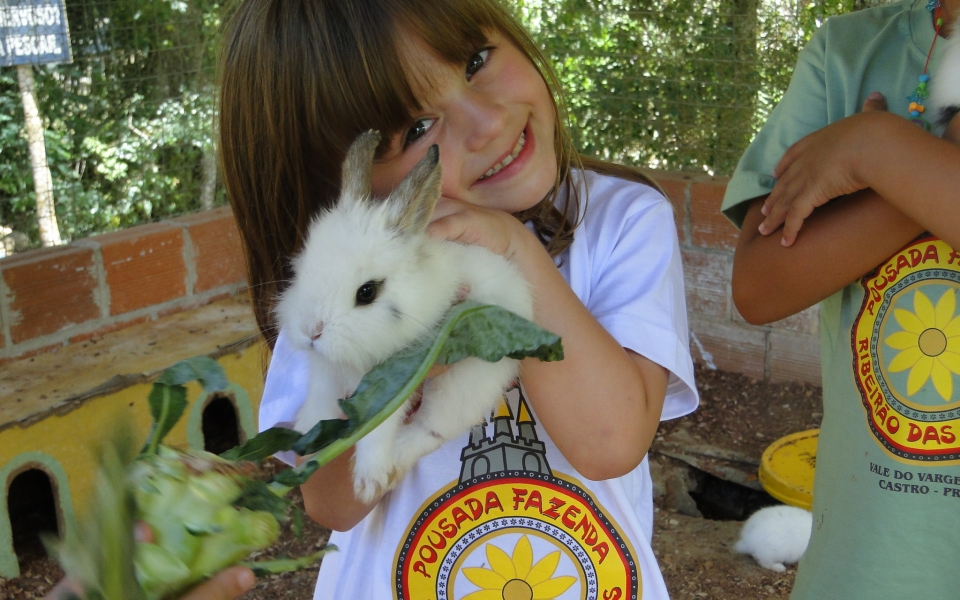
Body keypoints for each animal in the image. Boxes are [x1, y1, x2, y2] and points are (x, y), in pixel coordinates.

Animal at [276, 130, 532, 502]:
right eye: (302, 268)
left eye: (367, 292)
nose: (312, 332)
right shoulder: (327, 372)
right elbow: (321, 398)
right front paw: (308, 431)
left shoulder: (393, 382)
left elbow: (378, 429)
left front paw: (369, 481)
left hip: (466, 385)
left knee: (432, 430)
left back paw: (394, 463)